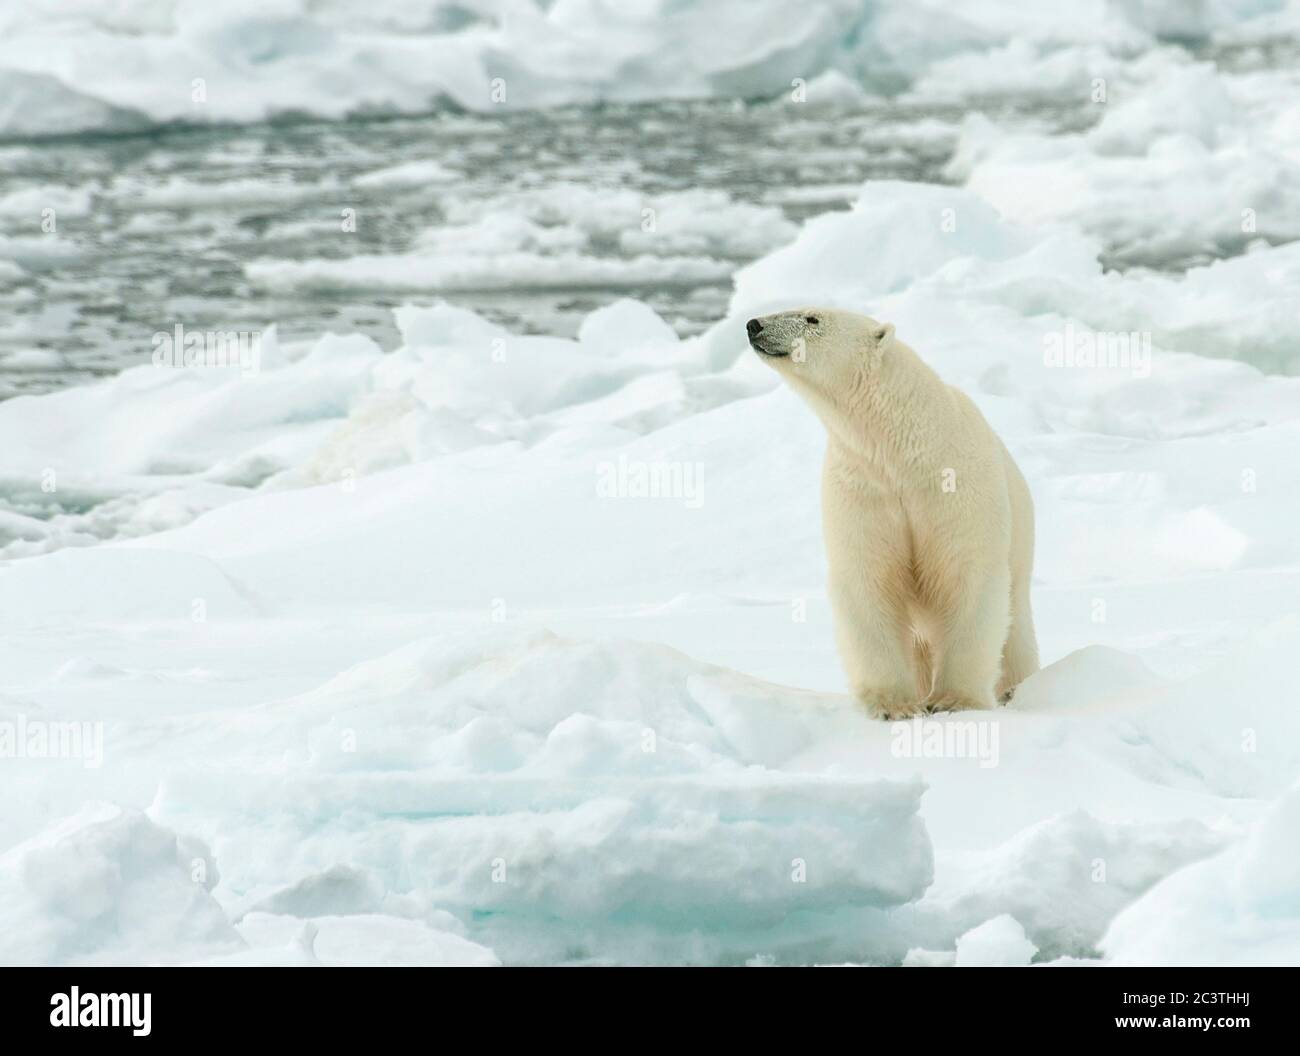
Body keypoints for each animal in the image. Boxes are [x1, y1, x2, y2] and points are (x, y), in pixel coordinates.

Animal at [748, 305, 1040, 717]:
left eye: (812, 318)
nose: (753, 324)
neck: (902, 452)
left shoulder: (953, 488)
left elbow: (967, 577)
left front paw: (954, 700)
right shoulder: (864, 487)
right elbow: (869, 579)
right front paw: (893, 706)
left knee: (1015, 628)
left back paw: (1015, 690)